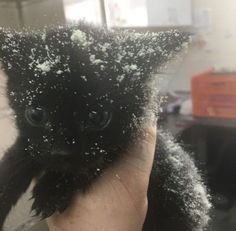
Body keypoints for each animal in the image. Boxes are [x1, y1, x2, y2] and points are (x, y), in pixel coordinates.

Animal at [0, 23, 210, 231]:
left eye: (98, 118)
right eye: (35, 115)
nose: (61, 152)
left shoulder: (119, 148)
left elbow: (89, 166)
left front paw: (51, 188)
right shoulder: (31, 142)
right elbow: (17, 155)